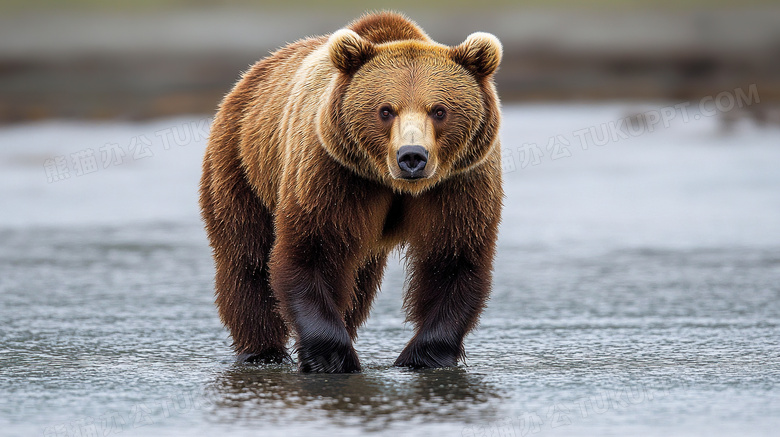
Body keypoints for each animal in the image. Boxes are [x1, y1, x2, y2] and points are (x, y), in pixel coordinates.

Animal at [201, 11, 502, 372]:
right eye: (385, 110)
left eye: (439, 110)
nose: (412, 156)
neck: (393, 184)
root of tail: (250, 76)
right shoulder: (334, 173)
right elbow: (312, 250)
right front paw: (332, 356)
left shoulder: (459, 182)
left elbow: (453, 257)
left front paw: (422, 357)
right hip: (241, 163)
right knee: (246, 259)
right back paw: (261, 351)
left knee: (359, 280)